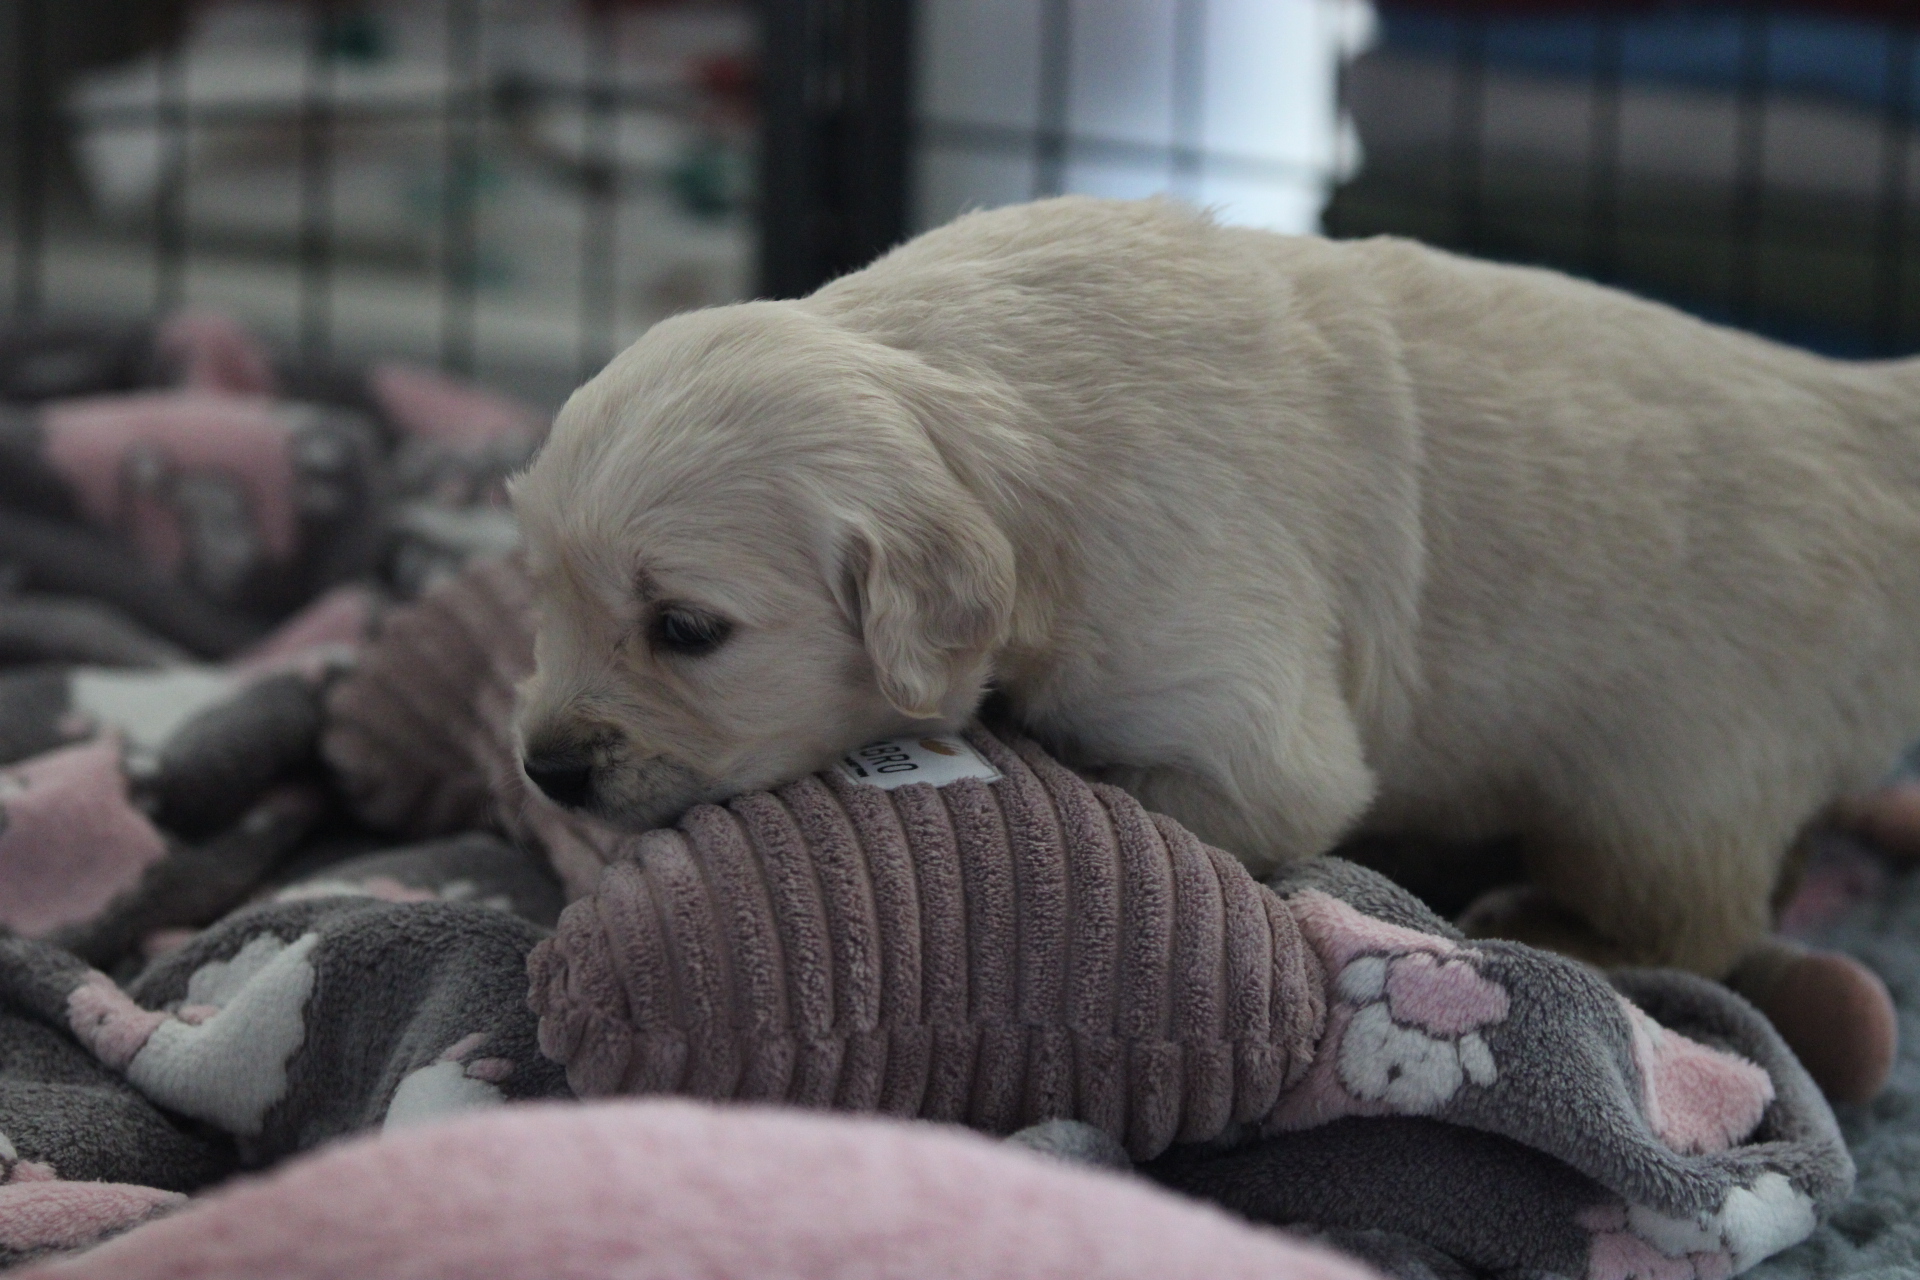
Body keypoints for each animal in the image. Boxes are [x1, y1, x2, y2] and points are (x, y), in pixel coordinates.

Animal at [511, 195, 1920, 979]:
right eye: (541, 601)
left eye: (687, 628)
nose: (546, 769)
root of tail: (1868, 414)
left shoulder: (1239, 712)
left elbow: (1176, 793)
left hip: (1668, 777)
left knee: (1702, 928)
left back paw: (1545, 925)